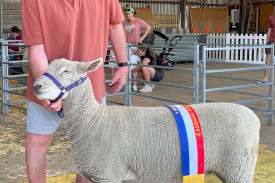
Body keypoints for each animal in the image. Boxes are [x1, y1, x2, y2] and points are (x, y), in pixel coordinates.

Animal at [34, 58, 260, 183]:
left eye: (66, 71)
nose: (36, 85)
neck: (93, 121)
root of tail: (253, 118)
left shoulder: (108, 174)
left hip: (238, 169)